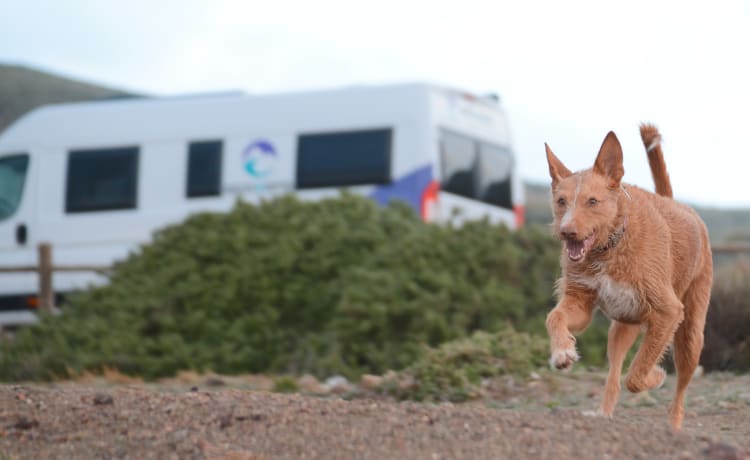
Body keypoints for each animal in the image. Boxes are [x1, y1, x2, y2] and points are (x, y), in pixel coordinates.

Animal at [544, 122, 712, 428]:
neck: (610, 246)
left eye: (592, 201)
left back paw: (674, 427)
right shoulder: (581, 303)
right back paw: (603, 414)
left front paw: (655, 376)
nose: (566, 232)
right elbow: (555, 317)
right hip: (622, 328)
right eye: (561, 201)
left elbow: (637, 374)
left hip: (691, 337)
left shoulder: (668, 312)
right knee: (614, 377)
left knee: (679, 390)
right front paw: (562, 352)